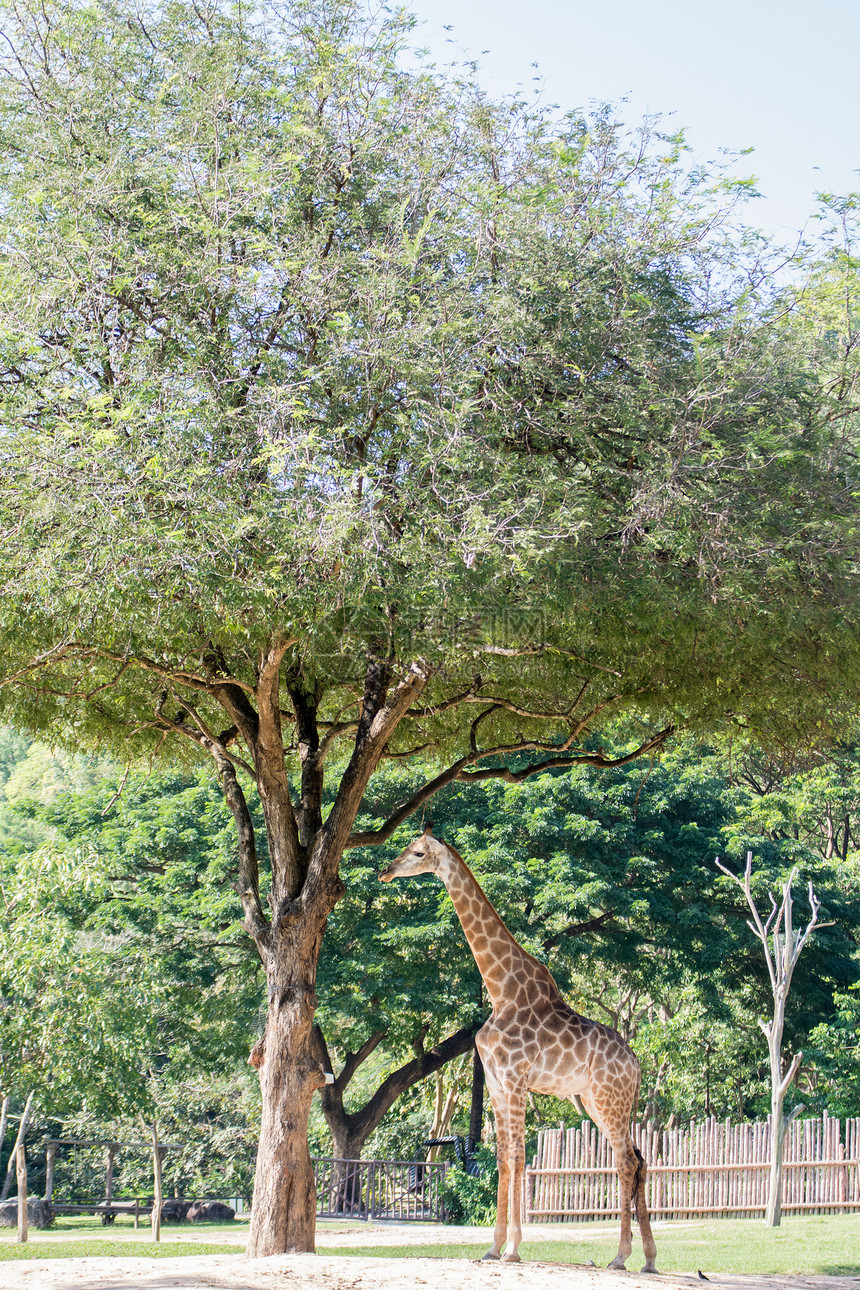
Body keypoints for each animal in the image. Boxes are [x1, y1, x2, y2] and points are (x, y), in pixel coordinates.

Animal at [379, 825, 660, 1269]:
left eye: (419, 852)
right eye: (406, 846)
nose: (385, 871)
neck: (500, 990)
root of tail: (635, 1063)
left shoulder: (514, 1079)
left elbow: (517, 1156)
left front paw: (512, 1249)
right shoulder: (495, 1082)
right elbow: (499, 1158)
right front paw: (493, 1247)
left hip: (608, 1097)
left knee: (626, 1160)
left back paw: (621, 1256)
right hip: (597, 1101)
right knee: (638, 1157)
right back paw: (647, 1258)